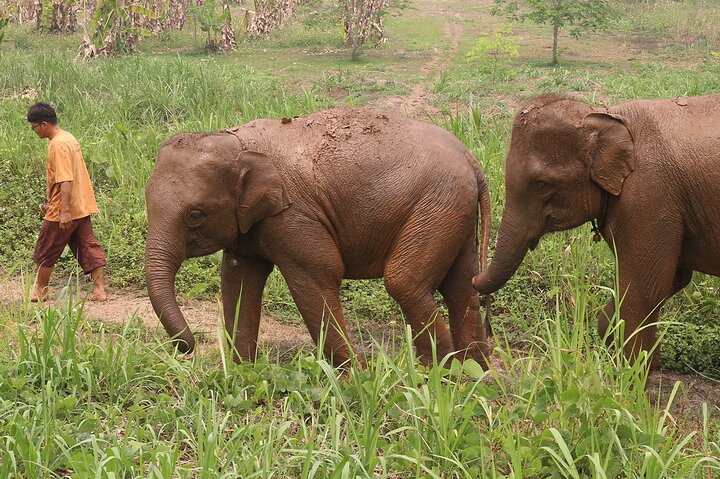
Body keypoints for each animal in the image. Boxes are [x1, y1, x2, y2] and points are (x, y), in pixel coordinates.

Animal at [145, 107, 492, 368]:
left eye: (195, 215)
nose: (187, 347)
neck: (235, 141)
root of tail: (471, 159)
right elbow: (239, 278)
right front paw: (241, 372)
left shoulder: (294, 216)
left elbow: (318, 277)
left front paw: (355, 378)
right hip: (452, 211)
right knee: (460, 286)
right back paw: (473, 373)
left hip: (436, 205)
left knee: (405, 282)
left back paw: (437, 376)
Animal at [472, 93, 720, 369]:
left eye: (541, 185)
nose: (489, 330)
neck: (605, 114)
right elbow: (674, 278)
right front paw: (636, 357)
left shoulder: (648, 198)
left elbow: (645, 287)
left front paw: (630, 372)